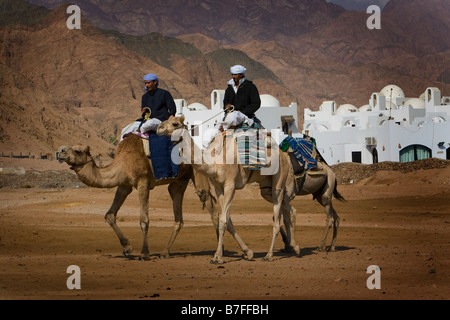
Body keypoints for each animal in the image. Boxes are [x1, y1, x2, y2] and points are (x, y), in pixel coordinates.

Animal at [55, 132, 220, 260]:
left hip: (197, 170)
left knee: (208, 202)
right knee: (178, 214)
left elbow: (144, 220)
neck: (124, 161)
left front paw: (144, 253)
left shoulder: (143, 182)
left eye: (78, 151)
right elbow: (110, 215)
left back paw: (219, 250)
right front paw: (127, 248)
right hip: (180, 180)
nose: (59, 151)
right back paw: (165, 253)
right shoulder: (124, 185)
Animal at [156, 115, 300, 262]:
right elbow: (227, 220)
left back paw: (269, 255)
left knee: (277, 217)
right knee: (290, 209)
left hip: (279, 180)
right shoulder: (218, 188)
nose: (159, 128)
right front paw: (247, 252)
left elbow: (223, 220)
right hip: (266, 187)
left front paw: (218, 257)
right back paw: (295, 248)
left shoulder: (230, 185)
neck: (214, 162)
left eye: (175, 123)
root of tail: (284, 155)